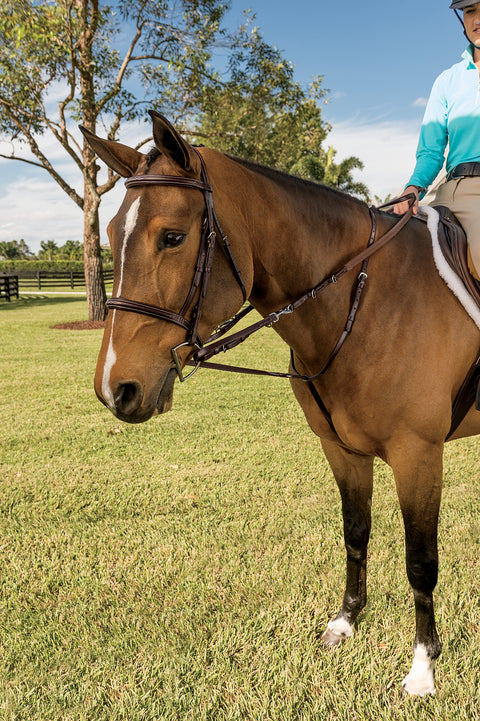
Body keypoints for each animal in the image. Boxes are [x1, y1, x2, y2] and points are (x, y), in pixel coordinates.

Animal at [81, 111, 480, 697]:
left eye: (172, 237)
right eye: (108, 235)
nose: (116, 388)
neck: (365, 302)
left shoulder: (419, 455)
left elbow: (420, 562)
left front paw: (423, 665)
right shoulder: (341, 449)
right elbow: (356, 533)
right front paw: (346, 620)